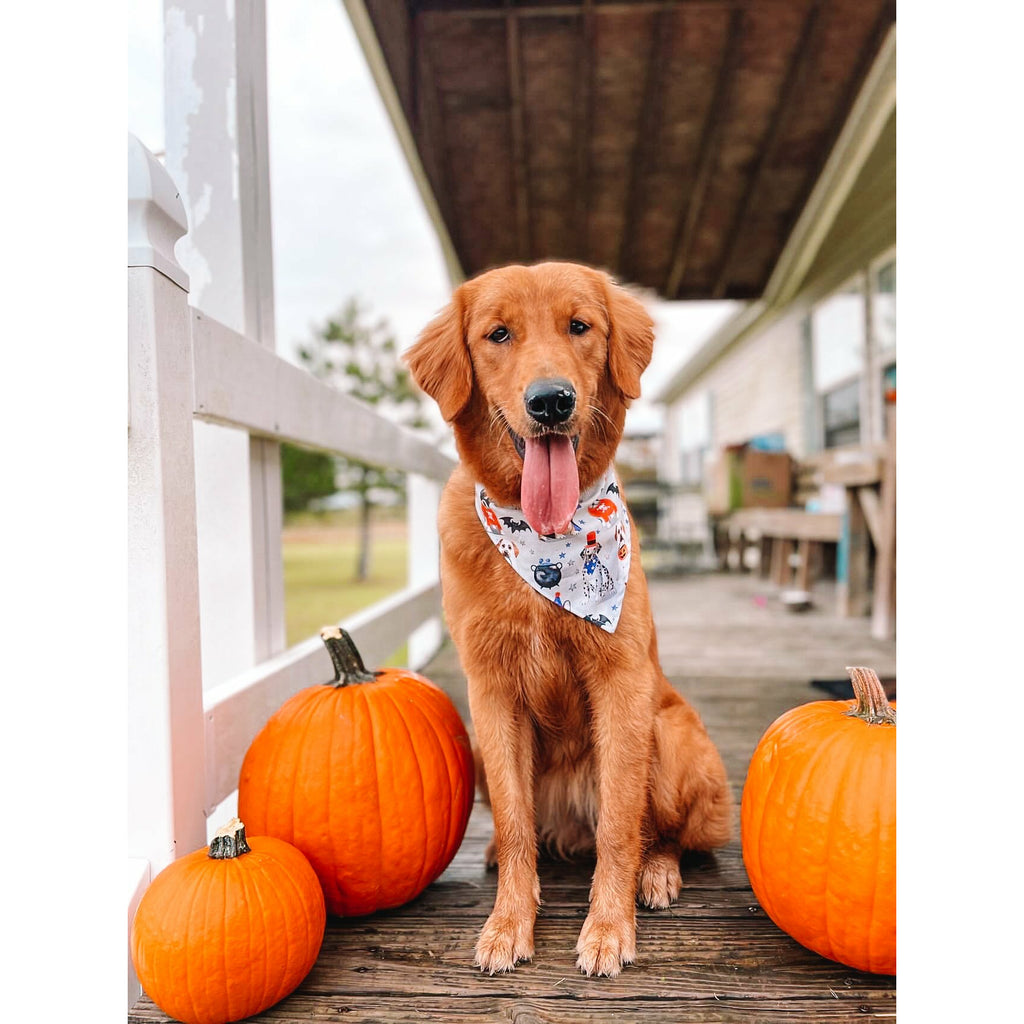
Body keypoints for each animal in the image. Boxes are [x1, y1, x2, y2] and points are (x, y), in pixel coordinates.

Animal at [403, 262, 733, 974]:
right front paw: (508, 923)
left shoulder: (622, 684)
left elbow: (620, 824)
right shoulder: (491, 692)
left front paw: (609, 928)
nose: (550, 401)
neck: (546, 546)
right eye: (498, 334)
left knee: (661, 833)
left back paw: (656, 872)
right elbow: (513, 821)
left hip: (671, 734)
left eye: (579, 326)